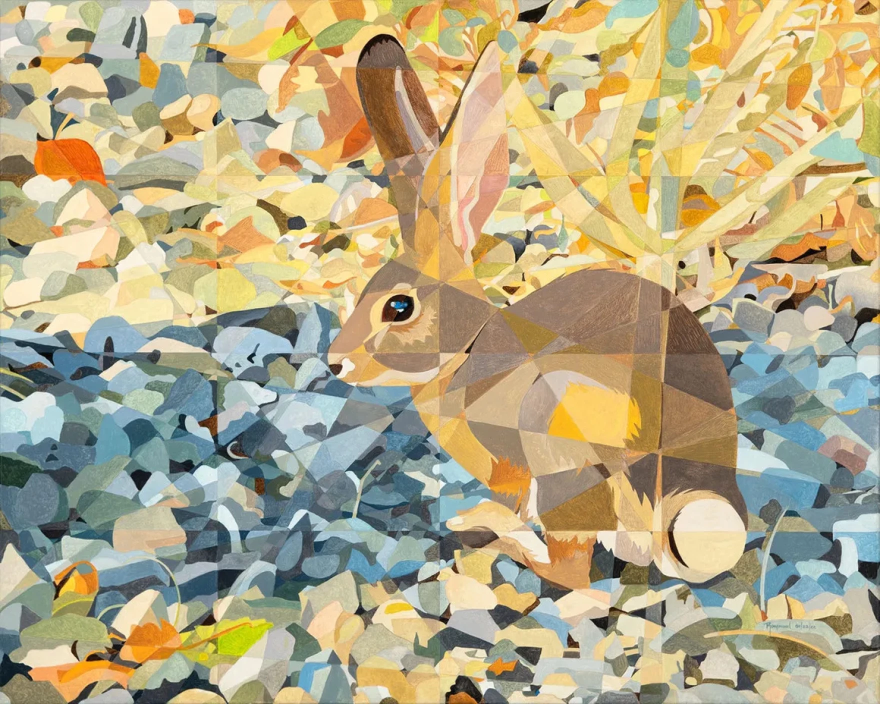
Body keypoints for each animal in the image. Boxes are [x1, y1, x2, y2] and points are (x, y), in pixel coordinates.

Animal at [327, 34, 747, 590]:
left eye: (398, 307)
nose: (336, 362)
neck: (465, 350)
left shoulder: (514, 463)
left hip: (556, 427)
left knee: (572, 573)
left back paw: (493, 531)